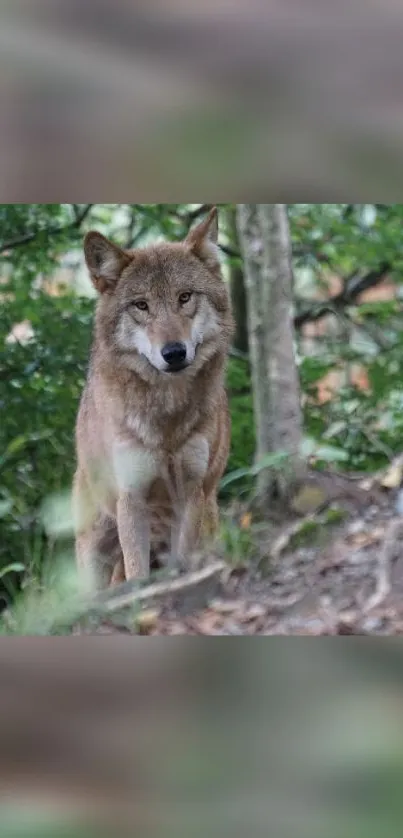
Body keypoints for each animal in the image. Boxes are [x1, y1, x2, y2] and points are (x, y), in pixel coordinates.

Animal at [74, 208, 235, 592]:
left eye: (185, 297)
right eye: (141, 305)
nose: (173, 353)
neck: (167, 418)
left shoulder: (191, 492)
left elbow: (184, 558)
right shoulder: (131, 498)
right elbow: (138, 572)